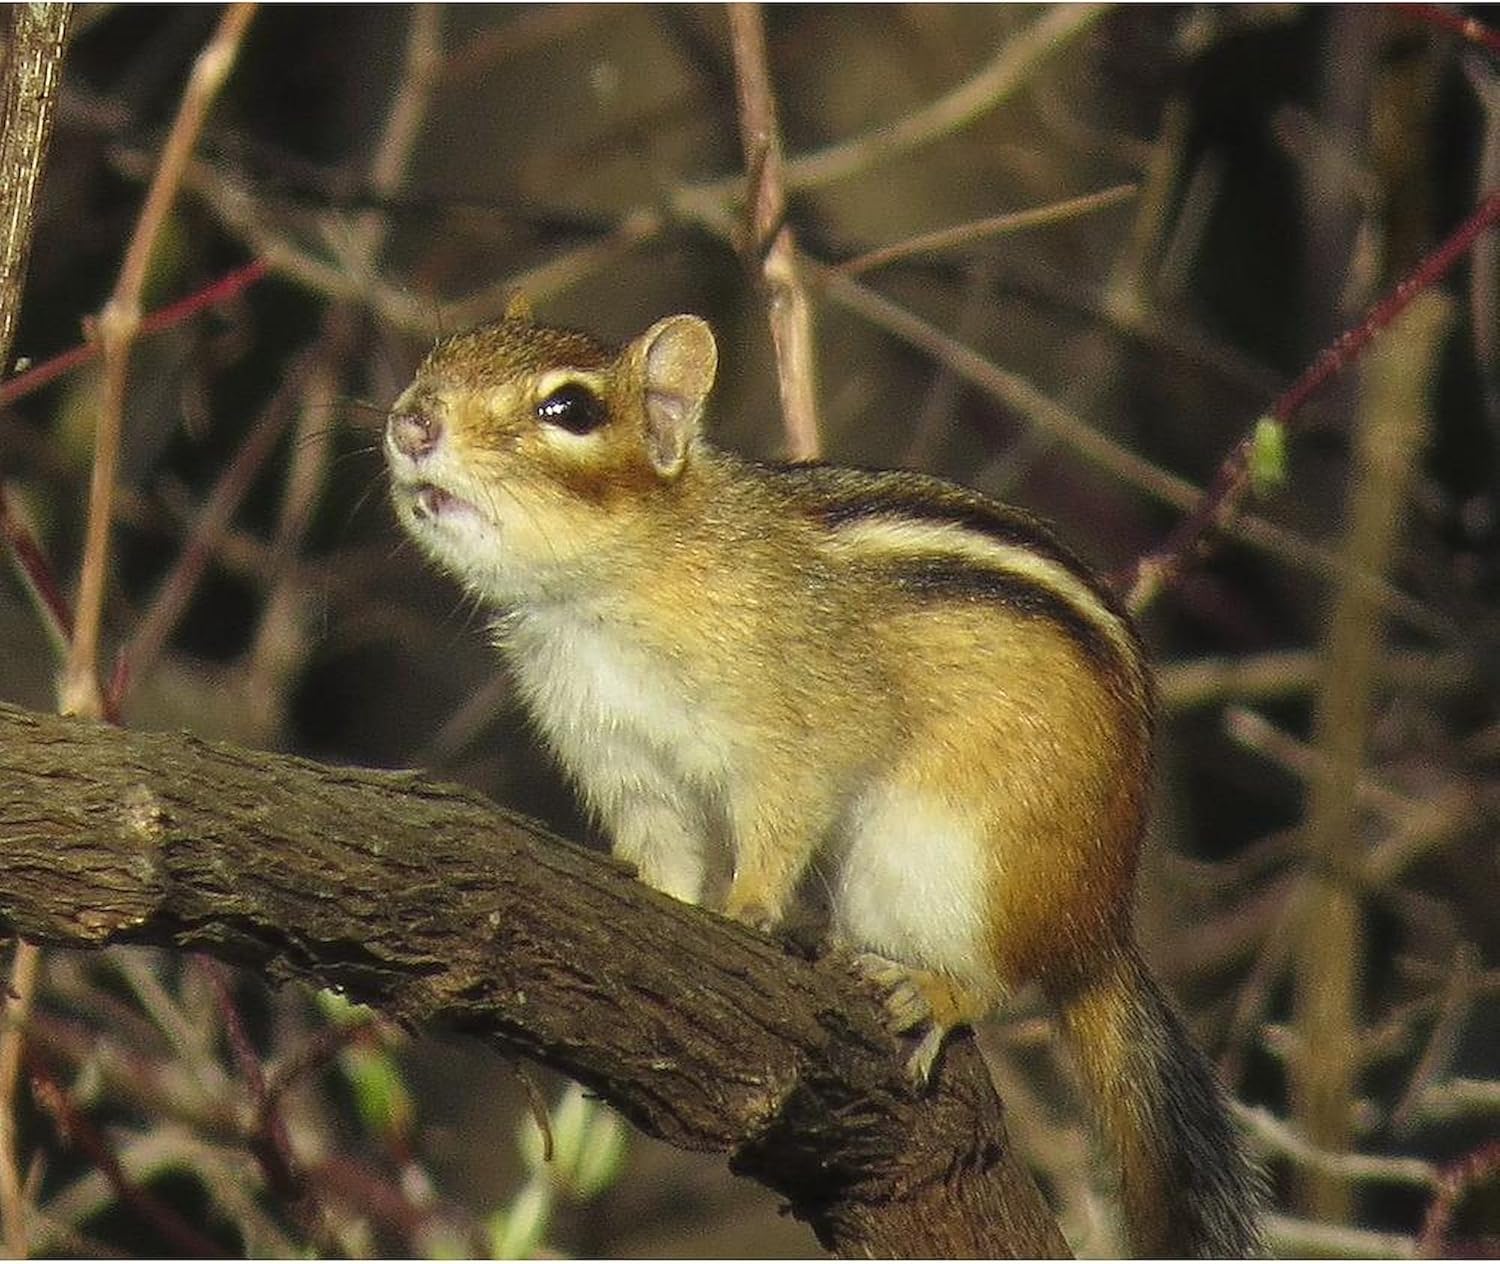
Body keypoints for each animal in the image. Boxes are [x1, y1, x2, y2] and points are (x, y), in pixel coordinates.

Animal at [384, 302, 1265, 1258]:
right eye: (436, 358)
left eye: (571, 411)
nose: (411, 422)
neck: (608, 590)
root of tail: (1101, 925)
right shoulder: (626, 764)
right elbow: (665, 854)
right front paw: (653, 900)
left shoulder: (793, 731)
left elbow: (781, 817)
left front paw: (748, 908)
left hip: (960, 860)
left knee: (995, 980)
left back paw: (932, 989)